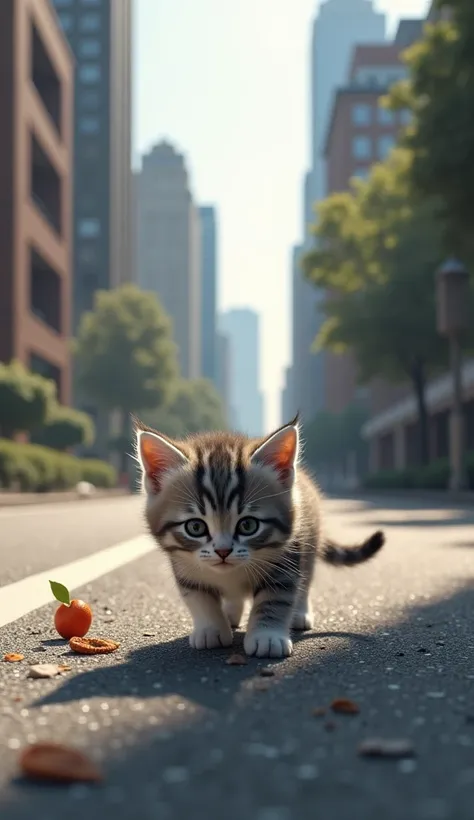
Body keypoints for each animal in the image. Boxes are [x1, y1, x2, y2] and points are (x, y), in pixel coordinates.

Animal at [134, 416, 386, 660]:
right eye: (195, 527)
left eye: (248, 525)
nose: (223, 551)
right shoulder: (184, 566)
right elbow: (198, 598)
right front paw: (211, 629)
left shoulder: (286, 559)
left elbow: (275, 599)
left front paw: (267, 637)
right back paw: (231, 613)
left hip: (310, 541)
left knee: (305, 581)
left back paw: (300, 613)